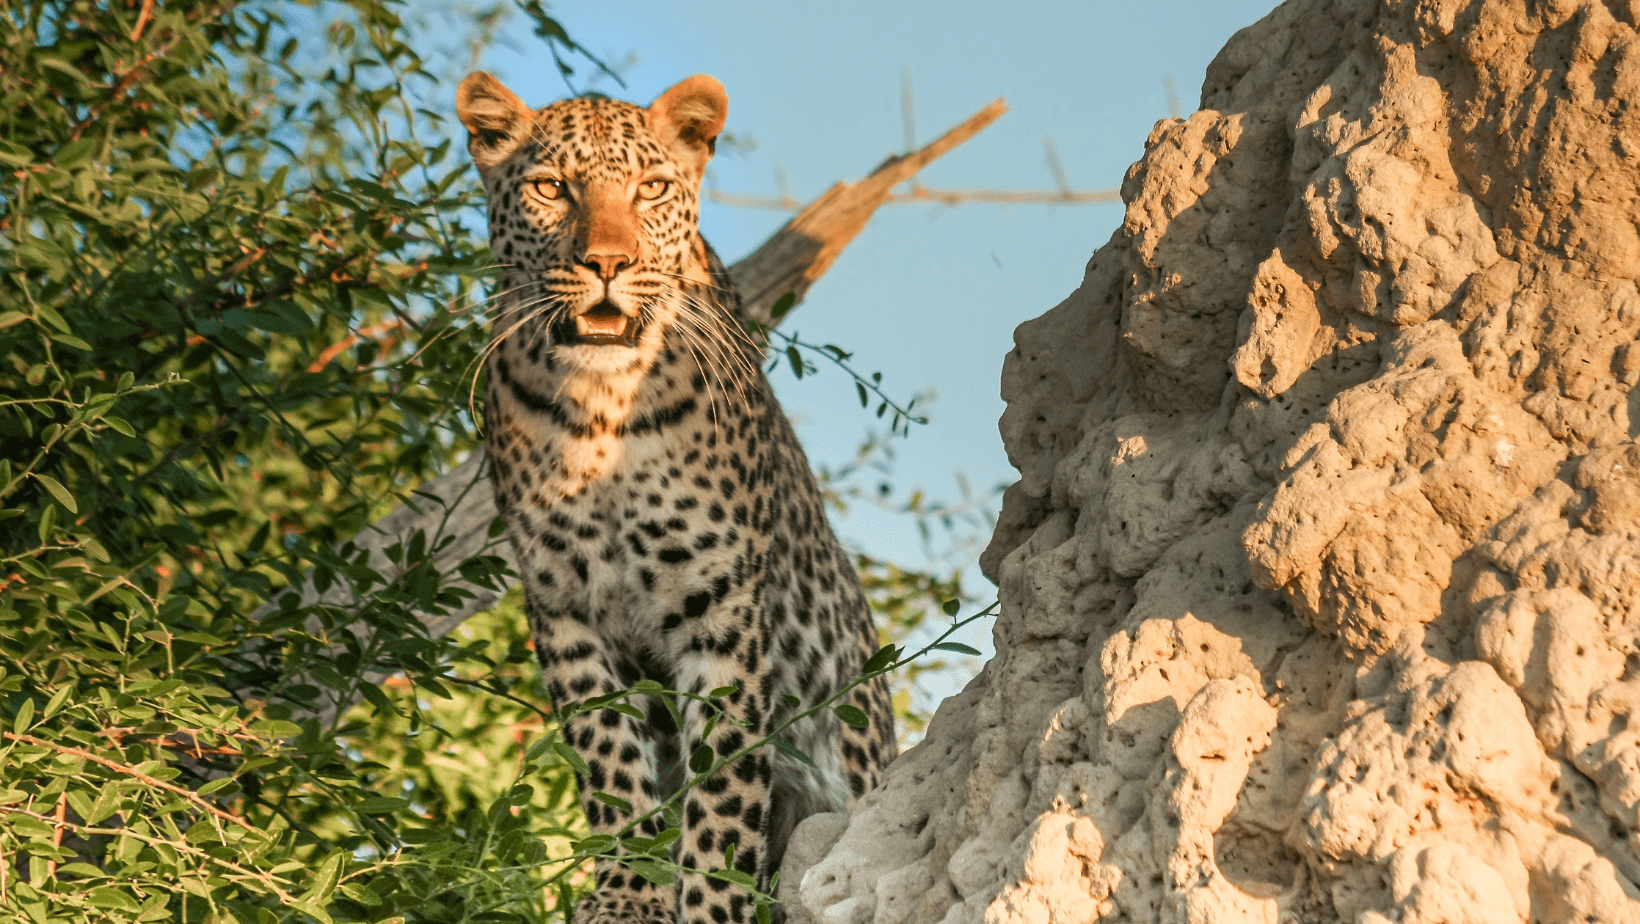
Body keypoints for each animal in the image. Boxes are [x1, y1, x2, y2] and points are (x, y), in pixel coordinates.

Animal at [455, 72, 898, 924]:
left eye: (652, 189)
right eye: (551, 189)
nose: (607, 262)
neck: (601, 410)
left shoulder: (720, 608)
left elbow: (723, 790)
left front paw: (708, 900)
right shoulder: (563, 608)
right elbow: (608, 758)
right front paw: (627, 894)